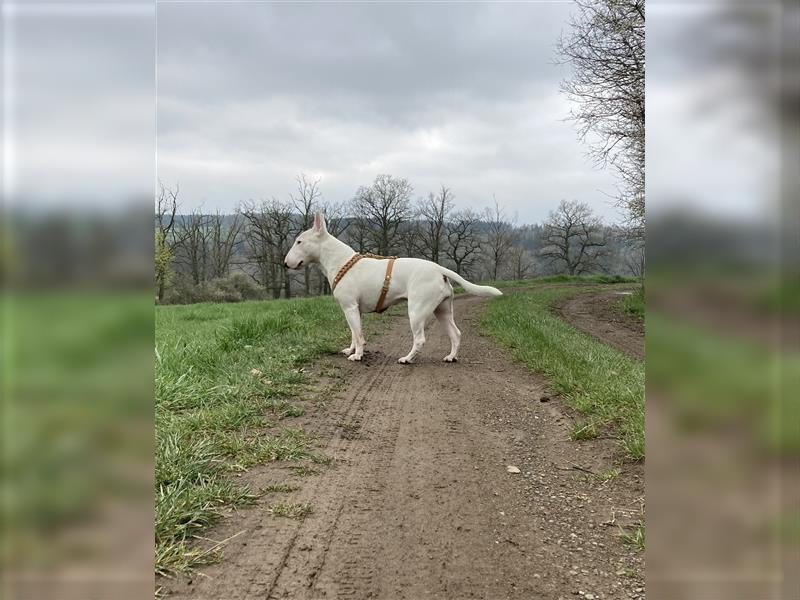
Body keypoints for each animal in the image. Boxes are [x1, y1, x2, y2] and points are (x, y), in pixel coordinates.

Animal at [286, 213, 500, 364]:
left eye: (299, 241)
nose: (285, 262)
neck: (340, 261)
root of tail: (439, 269)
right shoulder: (354, 310)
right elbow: (354, 333)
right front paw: (351, 350)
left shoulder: (349, 307)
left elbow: (359, 335)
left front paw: (358, 356)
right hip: (443, 310)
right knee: (455, 334)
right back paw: (451, 357)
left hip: (417, 311)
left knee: (420, 339)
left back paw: (408, 359)